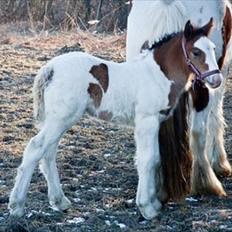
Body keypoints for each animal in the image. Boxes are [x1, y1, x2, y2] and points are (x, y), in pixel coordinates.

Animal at [9, 19, 222, 219]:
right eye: (196, 52)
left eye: (213, 48)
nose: (216, 80)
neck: (157, 75)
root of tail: (49, 68)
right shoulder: (147, 121)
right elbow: (148, 160)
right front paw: (147, 208)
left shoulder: (154, 123)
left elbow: (154, 159)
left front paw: (153, 203)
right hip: (61, 118)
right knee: (35, 147)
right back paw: (17, 206)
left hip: (58, 120)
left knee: (48, 153)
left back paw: (59, 201)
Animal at [127, 0, 232, 196]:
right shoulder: (219, 72)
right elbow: (214, 115)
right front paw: (219, 163)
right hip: (203, 84)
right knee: (198, 131)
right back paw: (206, 181)